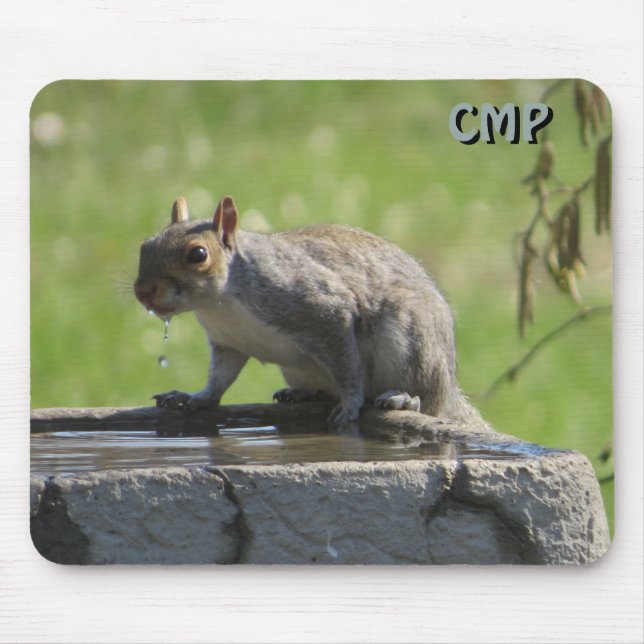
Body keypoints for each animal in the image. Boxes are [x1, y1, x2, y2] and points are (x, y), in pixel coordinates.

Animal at [134, 195, 487, 428]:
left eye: (198, 254)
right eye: (145, 245)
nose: (143, 291)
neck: (221, 304)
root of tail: (450, 389)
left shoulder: (325, 312)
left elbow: (347, 369)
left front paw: (350, 405)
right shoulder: (229, 344)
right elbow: (220, 378)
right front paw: (195, 397)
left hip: (411, 339)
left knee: (427, 398)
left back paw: (403, 397)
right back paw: (304, 394)